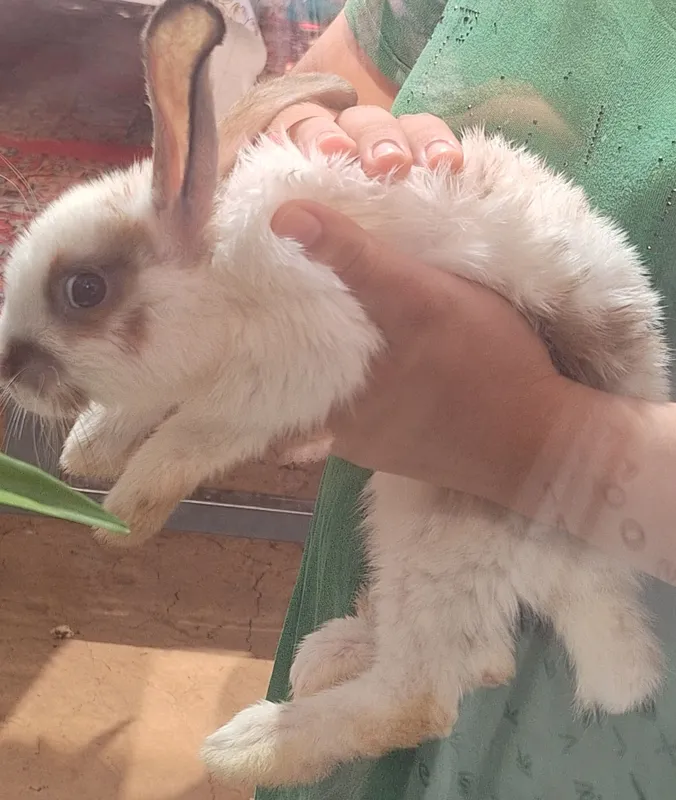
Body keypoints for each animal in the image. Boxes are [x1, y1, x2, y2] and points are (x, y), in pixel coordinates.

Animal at [0, 0, 668, 789]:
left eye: (84, 290)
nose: (10, 370)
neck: (217, 265)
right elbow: (142, 407)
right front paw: (89, 451)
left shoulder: (301, 362)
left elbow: (192, 437)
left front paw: (122, 514)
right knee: (476, 660)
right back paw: (331, 651)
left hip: (438, 530)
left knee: (424, 695)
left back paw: (251, 744)